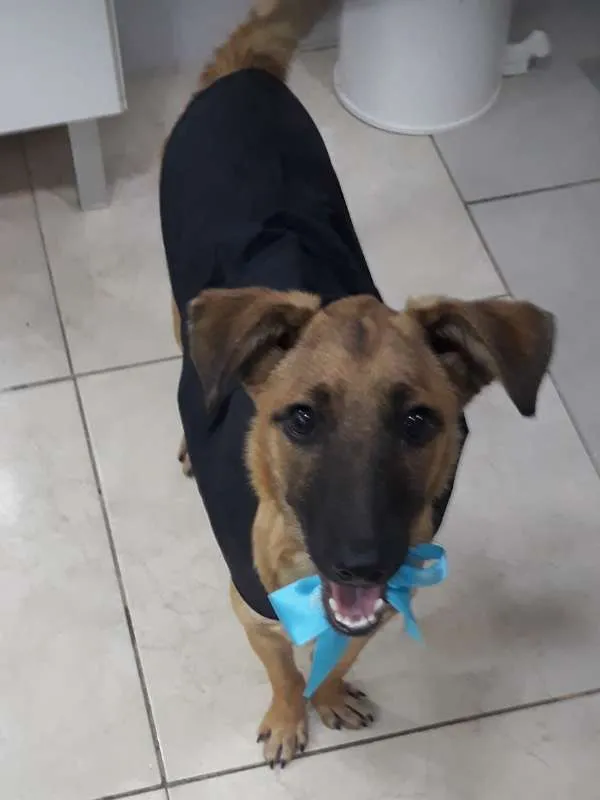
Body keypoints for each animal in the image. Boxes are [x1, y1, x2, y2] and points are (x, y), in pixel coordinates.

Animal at [160, 0, 555, 768]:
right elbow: (285, 671)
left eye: (419, 422)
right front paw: (290, 716)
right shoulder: (253, 612)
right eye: (301, 419)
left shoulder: (384, 602)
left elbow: (338, 655)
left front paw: (328, 696)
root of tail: (243, 77)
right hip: (180, 308)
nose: (362, 564)